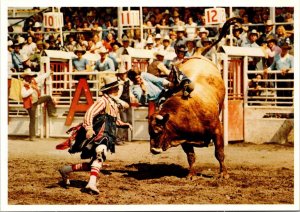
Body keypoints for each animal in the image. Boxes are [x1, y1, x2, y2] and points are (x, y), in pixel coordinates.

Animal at [149, 17, 243, 179]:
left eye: (159, 131)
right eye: (150, 131)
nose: (154, 150)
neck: (189, 111)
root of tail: (198, 54)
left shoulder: (217, 130)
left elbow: (219, 153)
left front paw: (223, 174)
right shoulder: (184, 138)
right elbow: (191, 156)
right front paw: (191, 175)